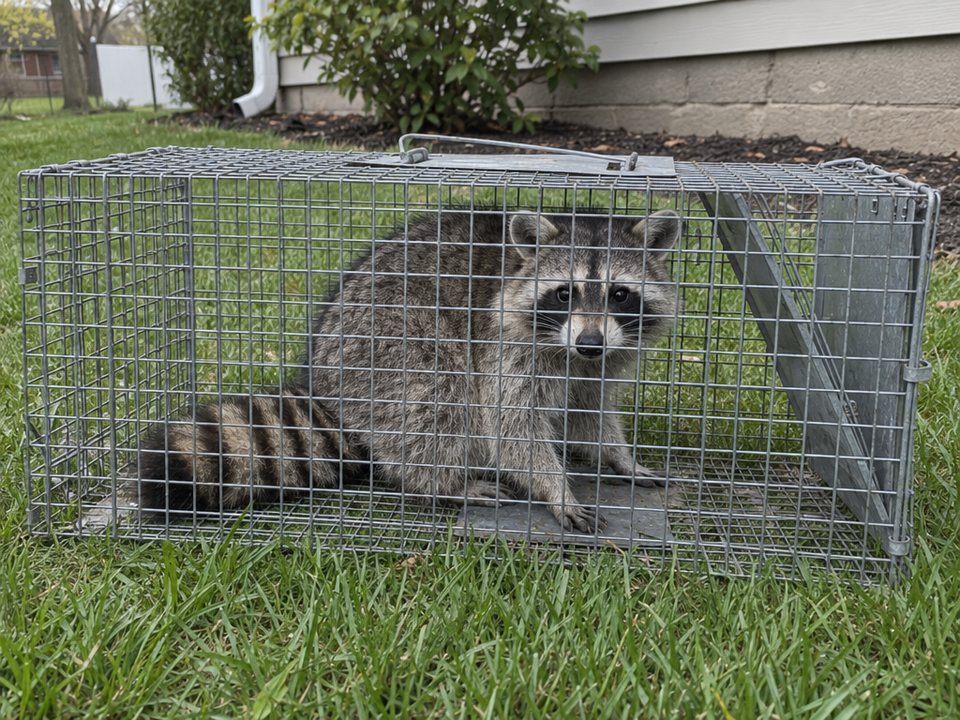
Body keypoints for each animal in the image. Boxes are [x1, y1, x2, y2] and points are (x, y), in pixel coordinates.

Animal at [132, 207, 680, 533]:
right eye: (565, 293)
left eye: (619, 294)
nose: (589, 342)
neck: (568, 352)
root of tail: (326, 390)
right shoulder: (504, 347)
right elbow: (511, 428)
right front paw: (554, 488)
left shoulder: (599, 362)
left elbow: (592, 412)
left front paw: (619, 458)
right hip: (386, 350)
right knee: (437, 403)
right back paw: (441, 484)